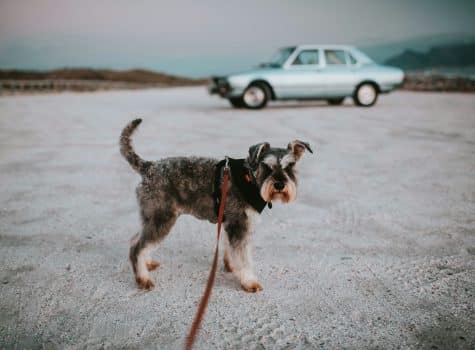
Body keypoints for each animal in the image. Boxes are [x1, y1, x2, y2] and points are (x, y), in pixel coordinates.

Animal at [120, 119, 312, 292]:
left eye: (290, 166)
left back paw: (147, 264)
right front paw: (249, 281)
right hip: (162, 218)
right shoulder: (240, 226)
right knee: (137, 247)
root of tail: (149, 167)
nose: (280, 185)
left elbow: (231, 249)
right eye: (266, 166)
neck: (250, 178)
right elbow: (243, 257)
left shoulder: (230, 223)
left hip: (152, 217)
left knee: (136, 239)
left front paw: (231, 267)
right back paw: (143, 279)